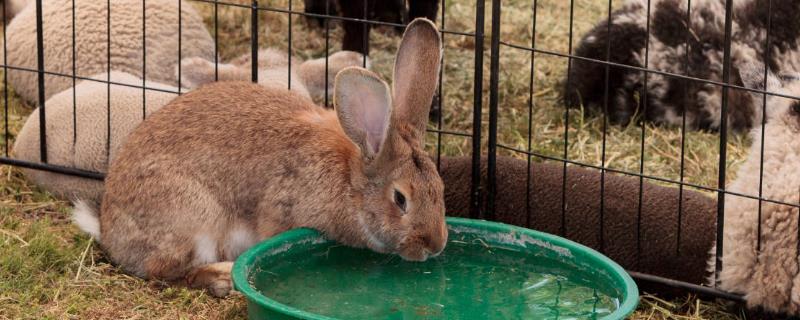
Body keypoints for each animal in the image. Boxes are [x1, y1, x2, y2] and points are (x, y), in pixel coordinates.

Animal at [73, 18, 450, 298]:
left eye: (440, 188)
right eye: (400, 199)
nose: (436, 245)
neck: (349, 181)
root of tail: (109, 231)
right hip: (192, 218)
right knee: (162, 271)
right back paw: (222, 277)